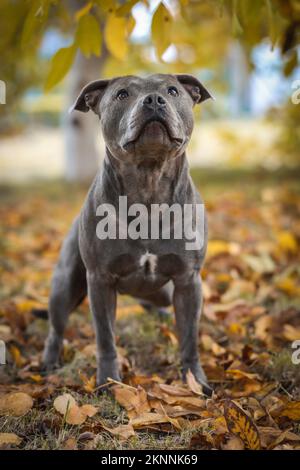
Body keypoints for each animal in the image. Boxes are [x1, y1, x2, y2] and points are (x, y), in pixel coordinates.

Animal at [42, 73, 213, 394]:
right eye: (122, 94)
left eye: (173, 91)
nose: (154, 100)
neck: (148, 185)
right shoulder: (100, 281)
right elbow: (105, 337)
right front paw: (108, 381)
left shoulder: (188, 281)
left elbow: (189, 338)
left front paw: (195, 381)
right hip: (65, 285)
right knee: (56, 328)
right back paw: (48, 361)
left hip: (163, 292)